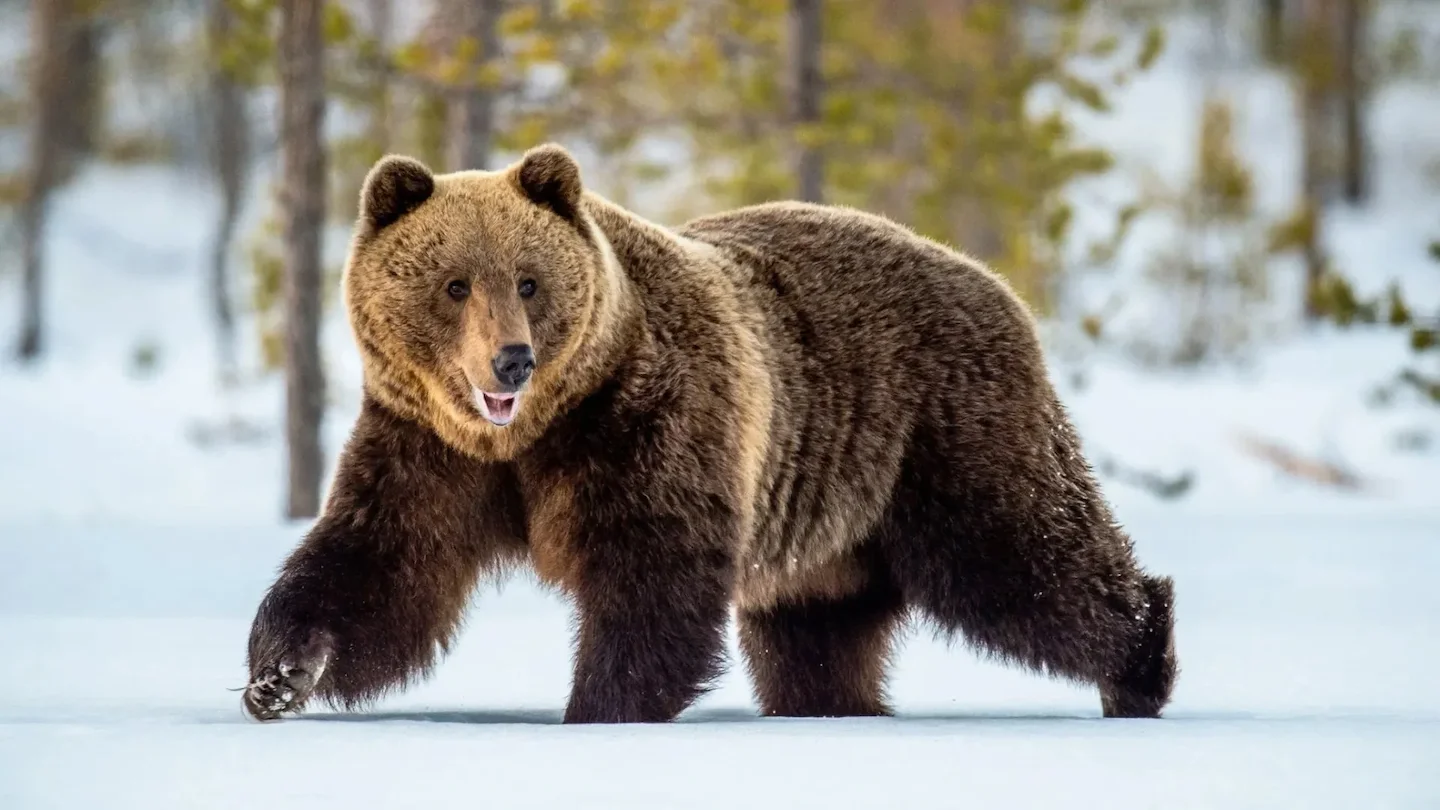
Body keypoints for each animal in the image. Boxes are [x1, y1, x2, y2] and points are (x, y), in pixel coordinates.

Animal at [242, 143, 1178, 724]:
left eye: (530, 280)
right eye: (454, 283)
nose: (510, 361)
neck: (531, 435)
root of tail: (994, 281)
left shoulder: (647, 418)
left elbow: (652, 573)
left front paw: (598, 705)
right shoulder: (426, 444)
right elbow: (381, 565)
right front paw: (279, 674)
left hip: (942, 433)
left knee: (1024, 558)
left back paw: (1139, 661)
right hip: (832, 526)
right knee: (819, 632)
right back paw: (837, 703)